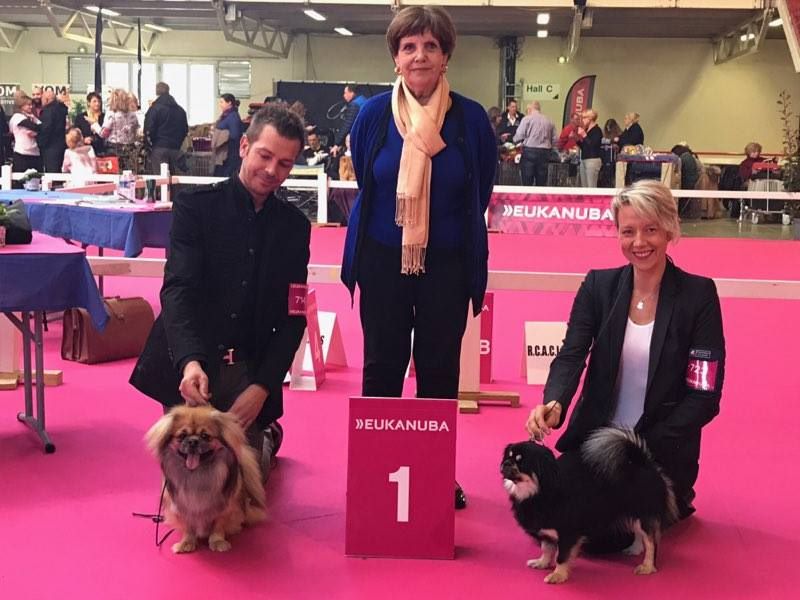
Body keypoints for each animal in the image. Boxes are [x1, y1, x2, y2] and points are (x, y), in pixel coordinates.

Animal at [145, 405, 266, 554]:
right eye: (182, 436)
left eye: (205, 436)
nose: (192, 441)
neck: (196, 474)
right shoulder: (184, 507)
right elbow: (188, 527)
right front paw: (186, 543)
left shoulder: (225, 507)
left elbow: (218, 525)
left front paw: (218, 542)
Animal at [501, 428, 678, 584]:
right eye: (508, 457)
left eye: (521, 462)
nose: (506, 464)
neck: (540, 491)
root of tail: (644, 463)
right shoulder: (546, 532)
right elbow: (547, 549)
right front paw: (542, 563)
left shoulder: (568, 533)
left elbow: (561, 556)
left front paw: (558, 575)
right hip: (632, 514)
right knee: (640, 534)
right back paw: (634, 549)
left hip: (644, 513)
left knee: (651, 541)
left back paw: (647, 566)